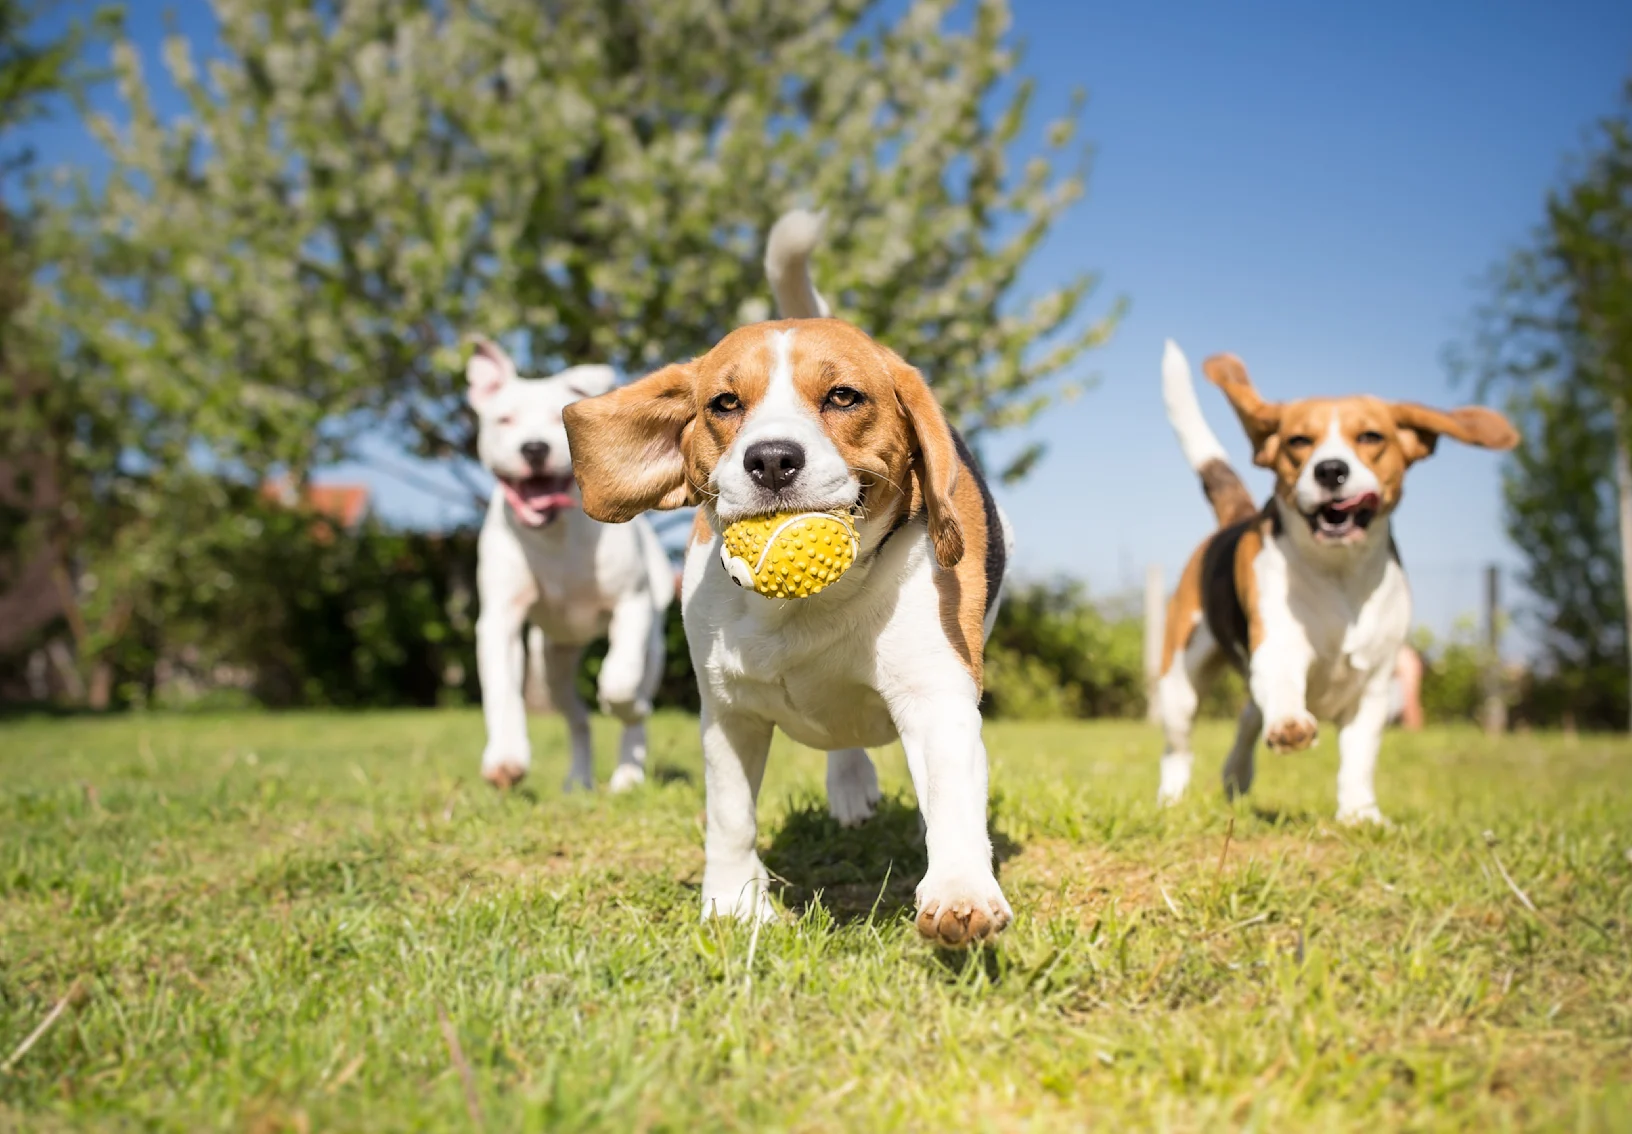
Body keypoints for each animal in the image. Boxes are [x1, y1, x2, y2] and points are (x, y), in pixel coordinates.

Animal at [470, 341, 672, 792]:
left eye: (556, 419)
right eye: (504, 419)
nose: (534, 448)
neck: (555, 534)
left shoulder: (631, 605)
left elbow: (619, 681)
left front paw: (625, 704)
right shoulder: (499, 619)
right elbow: (501, 690)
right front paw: (505, 758)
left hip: (653, 643)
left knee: (634, 701)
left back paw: (628, 774)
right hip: (552, 664)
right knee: (577, 718)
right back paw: (578, 779)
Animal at [567, 212, 1011, 946]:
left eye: (843, 396)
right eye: (724, 403)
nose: (772, 458)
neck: (804, 609)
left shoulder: (936, 694)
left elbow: (951, 797)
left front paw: (959, 890)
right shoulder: (728, 713)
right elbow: (730, 816)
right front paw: (732, 905)